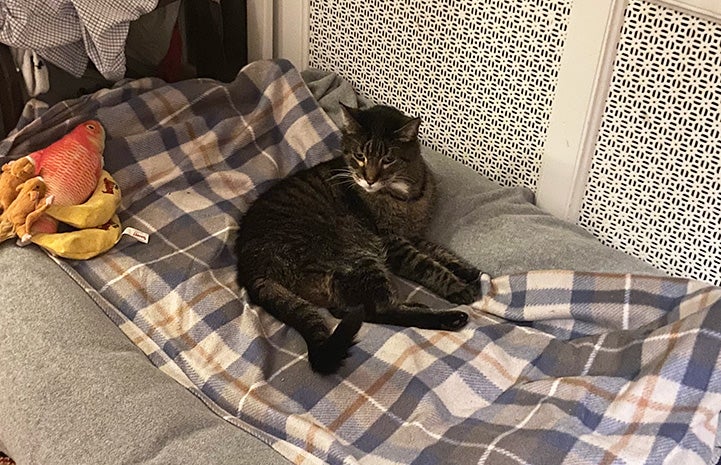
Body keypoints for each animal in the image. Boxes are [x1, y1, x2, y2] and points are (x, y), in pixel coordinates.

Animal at [236, 105, 480, 374]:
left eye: (388, 159)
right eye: (360, 156)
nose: (370, 179)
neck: (404, 193)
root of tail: (249, 269)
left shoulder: (413, 236)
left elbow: (438, 251)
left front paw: (465, 269)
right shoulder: (393, 242)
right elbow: (427, 266)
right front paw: (457, 287)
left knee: (345, 309)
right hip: (357, 256)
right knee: (376, 310)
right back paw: (448, 317)